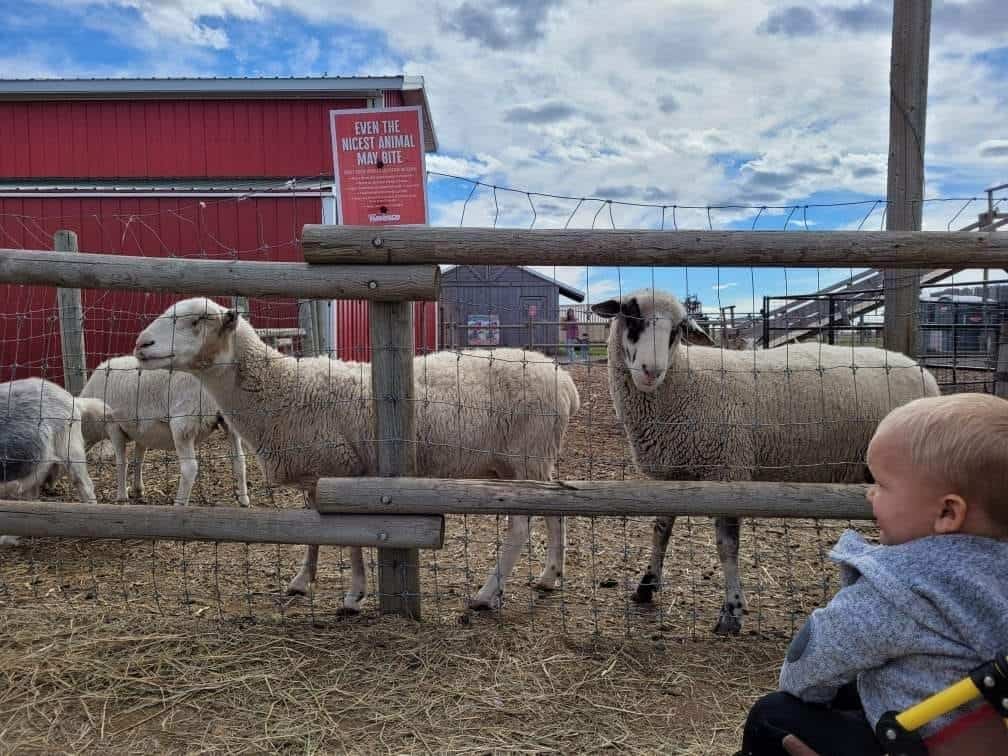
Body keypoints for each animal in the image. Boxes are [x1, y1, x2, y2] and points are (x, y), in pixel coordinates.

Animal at [79, 356, 248, 510]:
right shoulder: (142, 432)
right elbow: (138, 459)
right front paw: (137, 489)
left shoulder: (113, 425)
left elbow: (122, 462)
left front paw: (121, 497)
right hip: (229, 421)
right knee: (239, 459)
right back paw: (244, 500)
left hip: (183, 423)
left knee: (189, 468)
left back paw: (179, 504)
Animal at [592, 286, 939, 637]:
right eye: (631, 316)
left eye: (677, 330)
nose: (651, 371)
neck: (683, 383)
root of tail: (923, 372)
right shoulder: (673, 475)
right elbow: (661, 528)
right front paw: (647, 585)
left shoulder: (728, 471)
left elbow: (727, 546)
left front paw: (731, 613)